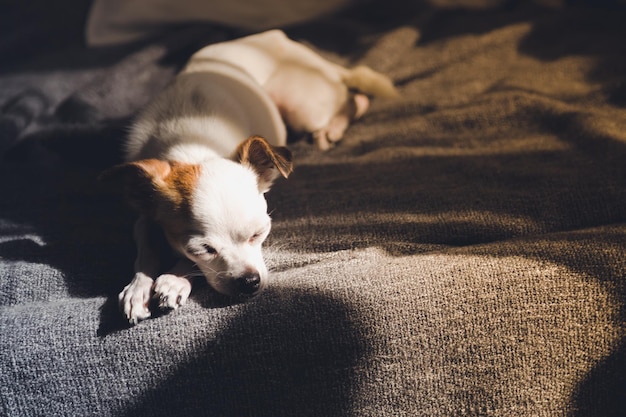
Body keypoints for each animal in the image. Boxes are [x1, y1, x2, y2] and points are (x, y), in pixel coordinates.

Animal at [102, 29, 394, 324]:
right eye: (204, 248)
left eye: (259, 234)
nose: (249, 281)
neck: (191, 145)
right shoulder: (145, 215)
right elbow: (146, 250)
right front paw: (138, 288)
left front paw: (173, 279)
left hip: (301, 109)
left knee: (354, 100)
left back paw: (331, 129)